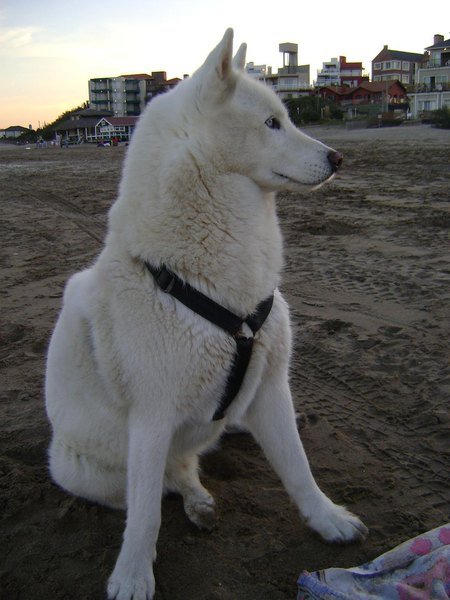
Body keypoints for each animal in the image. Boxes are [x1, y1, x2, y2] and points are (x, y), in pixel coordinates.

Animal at [45, 28, 368, 600]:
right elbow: (145, 513)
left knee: (194, 458)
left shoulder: (272, 385)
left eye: (286, 117)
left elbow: (299, 467)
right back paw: (195, 499)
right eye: (271, 123)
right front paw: (133, 574)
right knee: (170, 476)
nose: (337, 158)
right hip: (87, 467)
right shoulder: (152, 416)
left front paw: (327, 519)